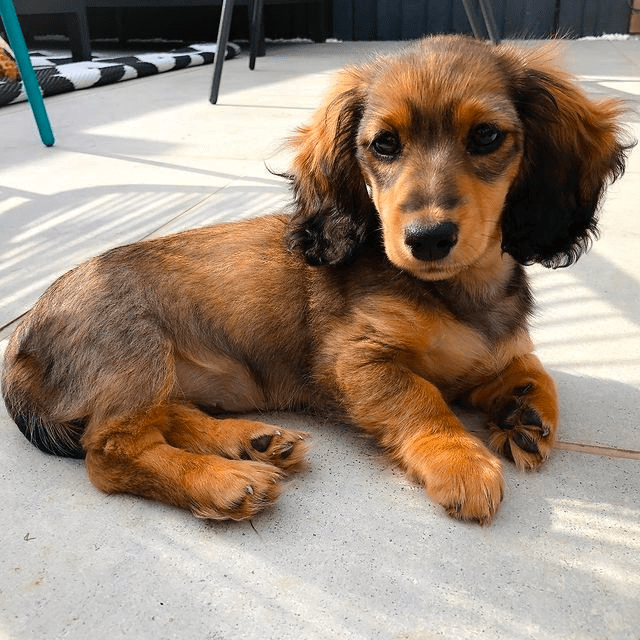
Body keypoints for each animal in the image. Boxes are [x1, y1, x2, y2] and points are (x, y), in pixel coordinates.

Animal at [1, 36, 632, 524]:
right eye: (384, 144)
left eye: (485, 137)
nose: (428, 239)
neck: (456, 291)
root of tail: (23, 333)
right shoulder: (355, 361)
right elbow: (423, 399)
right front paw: (461, 460)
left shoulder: (499, 349)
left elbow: (533, 368)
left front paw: (526, 410)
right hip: (136, 350)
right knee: (109, 452)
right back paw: (220, 481)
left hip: (156, 376)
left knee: (163, 419)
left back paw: (247, 441)